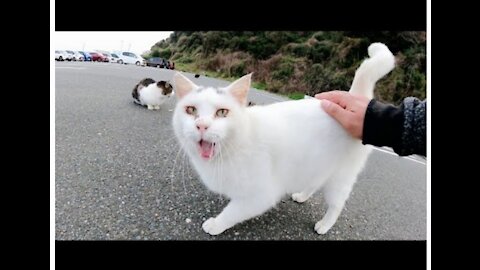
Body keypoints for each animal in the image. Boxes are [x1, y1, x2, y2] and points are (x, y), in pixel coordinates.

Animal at [171, 43, 396, 235]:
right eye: (191, 110)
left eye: (222, 112)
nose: (201, 125)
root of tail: (352, 101)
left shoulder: (260, 195)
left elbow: (232, 212)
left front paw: (216, 224)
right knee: (314, 181)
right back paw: (302, 196)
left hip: (341, 176)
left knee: (337, 204)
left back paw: (324, 225)